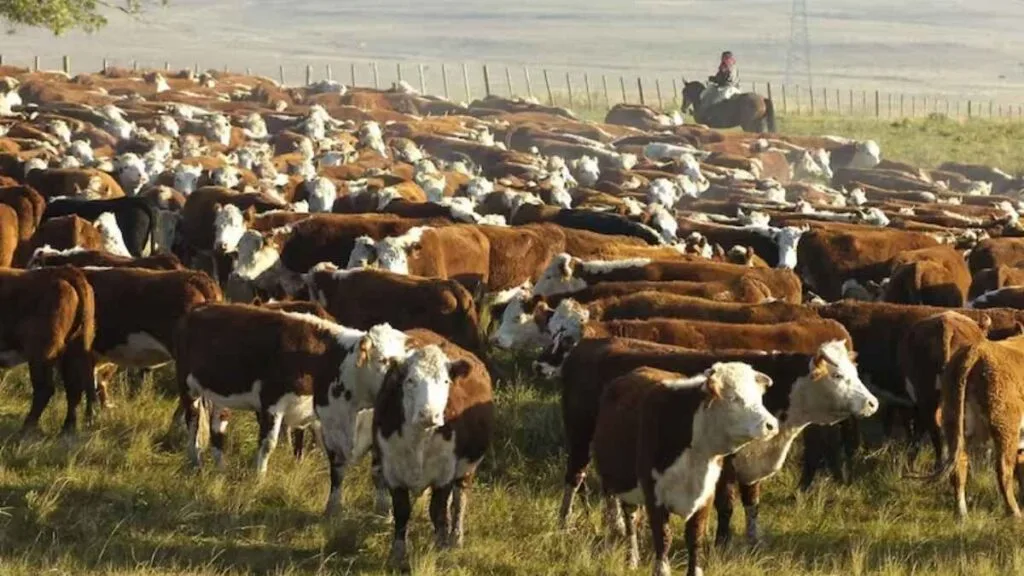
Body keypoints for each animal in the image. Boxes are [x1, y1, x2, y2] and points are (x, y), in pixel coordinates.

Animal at [374, 341, 494, 570]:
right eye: (410, 380)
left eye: (446, 381)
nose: (430, 415)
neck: (419, 439)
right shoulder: (392, 472)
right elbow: (402, 512)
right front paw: (397, 554)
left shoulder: (444, 474)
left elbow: (438, 512)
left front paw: (441, 549)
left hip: (467, 469)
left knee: (459, 501)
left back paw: (455, 538)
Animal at [592, 363, 777, 576]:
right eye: (733, 398)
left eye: (759, 397)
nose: (771, 425)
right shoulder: (654, 495)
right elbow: (663, 538)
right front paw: (662, 570)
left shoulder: (705, 495)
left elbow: (695, 537)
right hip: (626, 490)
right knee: (631, 523)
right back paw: (632, 559)